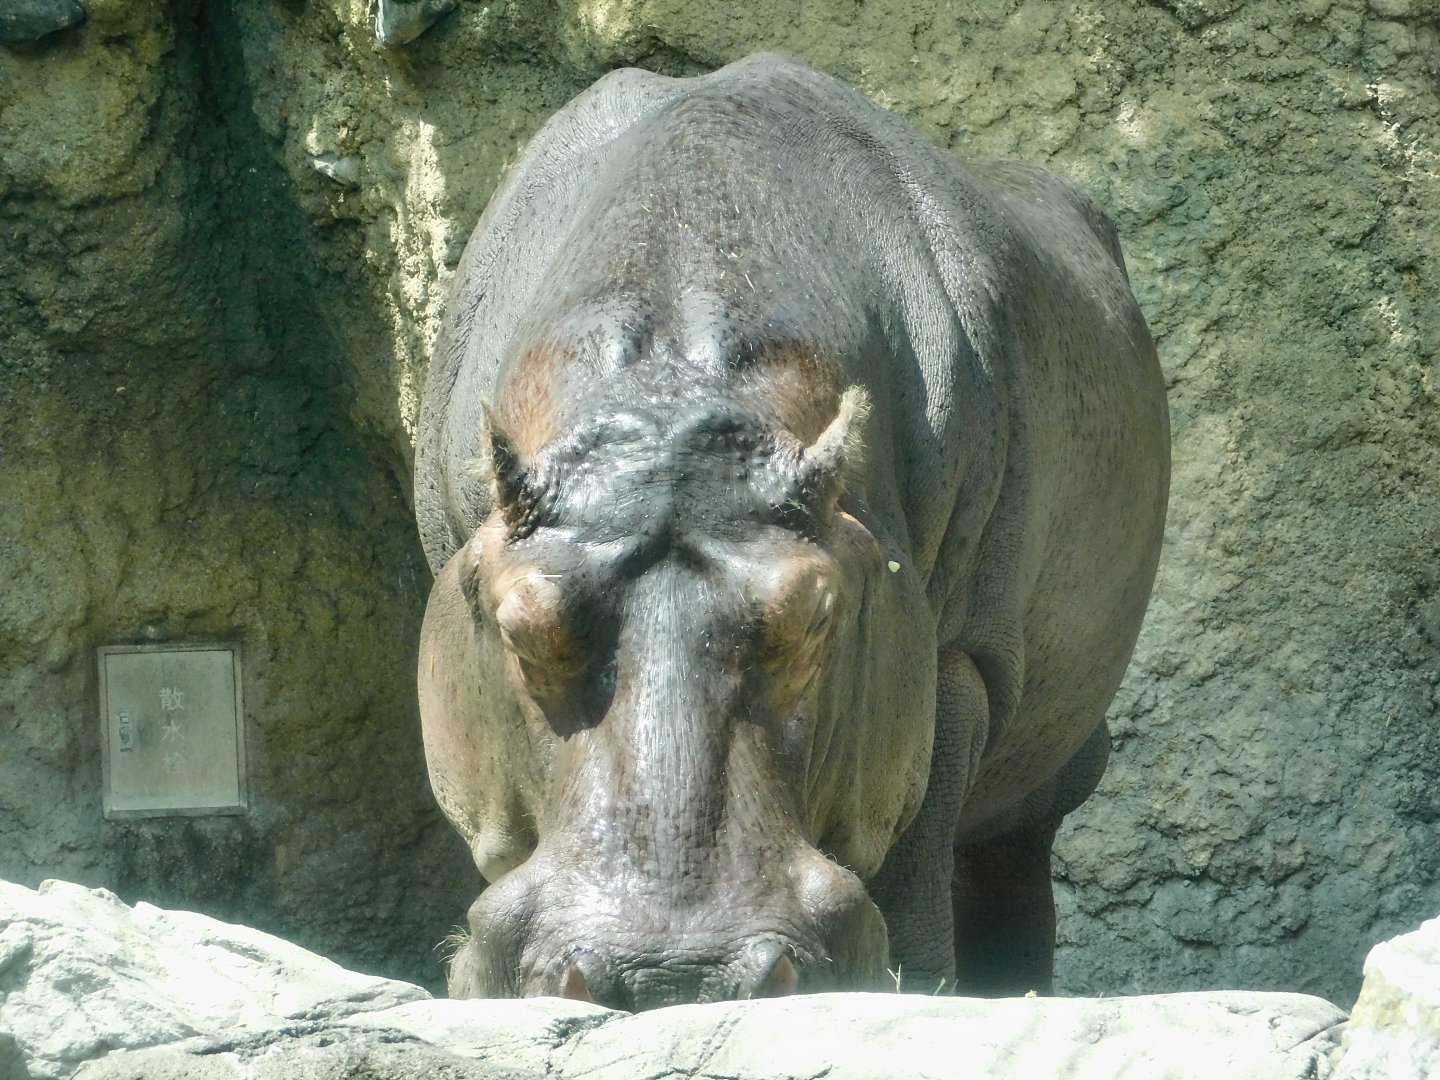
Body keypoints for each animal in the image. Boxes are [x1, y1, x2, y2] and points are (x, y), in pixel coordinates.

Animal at [414, 53, 1169, 1010]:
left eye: (817, 611)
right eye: (517, 624)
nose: (674, 974)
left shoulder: (953, 656)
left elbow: (917, 854)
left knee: (1009, 855)